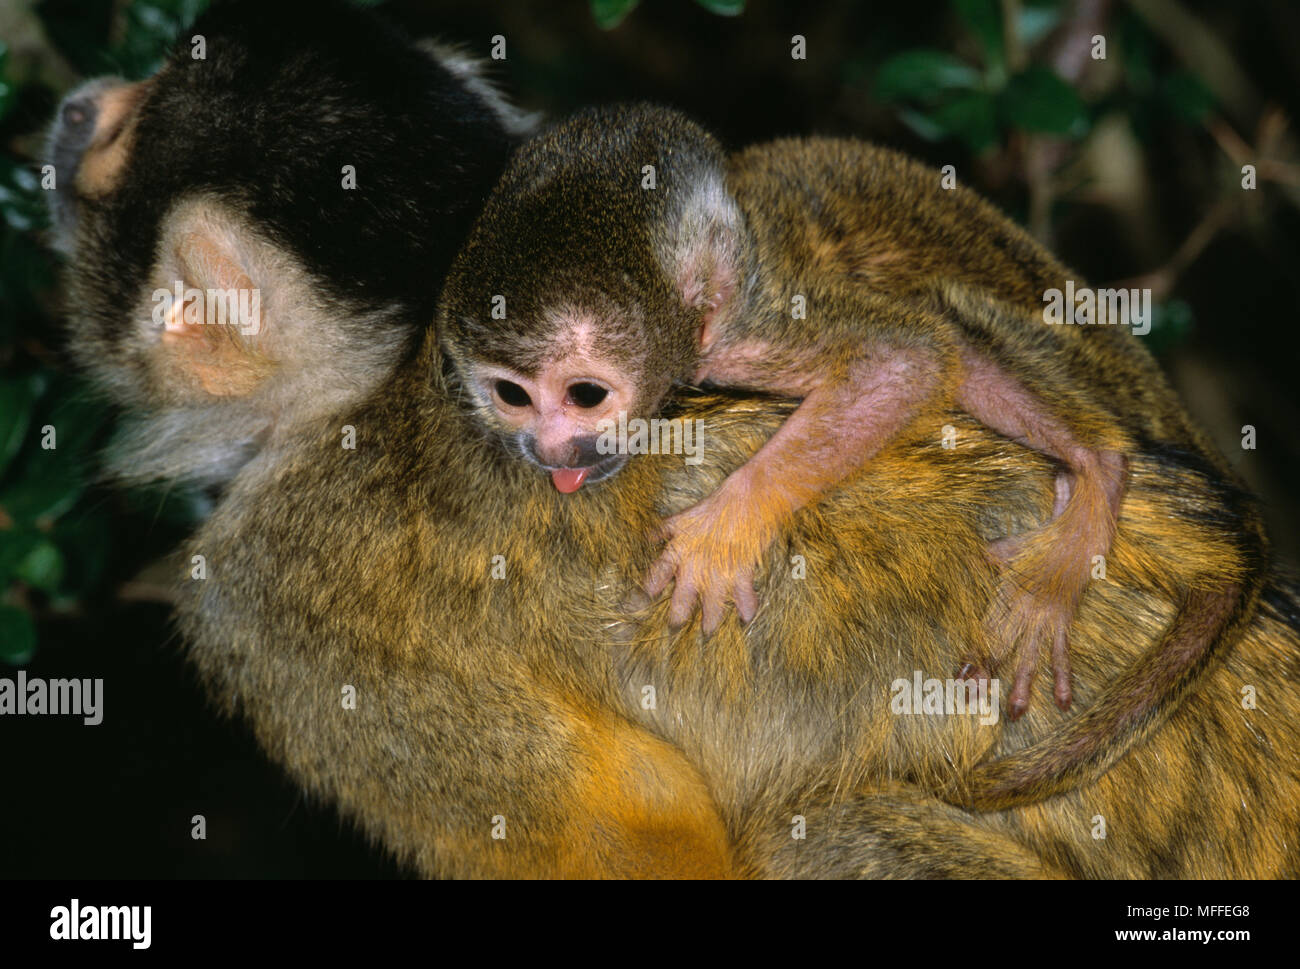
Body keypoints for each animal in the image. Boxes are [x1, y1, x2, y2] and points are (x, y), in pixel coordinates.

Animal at [437, 104, 1267, 751]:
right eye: (512, 395)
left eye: (584, 394)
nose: (549, 448)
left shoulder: (745, 333)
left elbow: (907, 358)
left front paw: (729, 526)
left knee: (952, 329)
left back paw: (1097, 469)